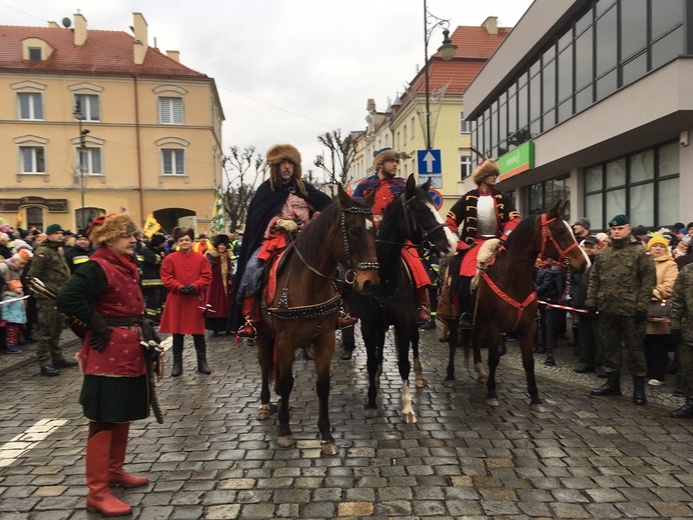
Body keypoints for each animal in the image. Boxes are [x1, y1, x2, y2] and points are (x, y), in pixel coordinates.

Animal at [255, 186, 378, 456]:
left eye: (375, 230)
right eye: (354, 231)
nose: (370, 283)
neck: (309, 284)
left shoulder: (325, 339)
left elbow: (322, 385)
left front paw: (326, 436)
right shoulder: (285, 340)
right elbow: (287, 381)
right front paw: (285, 432)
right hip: (262, 333)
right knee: (265, 365)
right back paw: (265, 404)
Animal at [348, 175, 456, 422]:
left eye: (434, 205)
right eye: (419, 208)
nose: (451, 244)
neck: (384, 277)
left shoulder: (404, 321)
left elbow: (404, 362)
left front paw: (407, 407)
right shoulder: (368, 324)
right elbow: (370, 361)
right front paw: (371, 401)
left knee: (414, 345)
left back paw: (419, 377)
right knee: (378, 351)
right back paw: (378, 376)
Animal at [440, 201, 588, 412]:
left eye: (571, 229)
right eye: (560, 230)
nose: (584, 263)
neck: (512, 277)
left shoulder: (528, 327)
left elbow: (529, 362)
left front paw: (535, 397)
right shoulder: (494, 327)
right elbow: (494, 358)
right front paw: (492, 394)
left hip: (478, 319)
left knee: (475, 341)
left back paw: (480, 371)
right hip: (453, 317)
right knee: (453, 343)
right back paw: (451, 376)